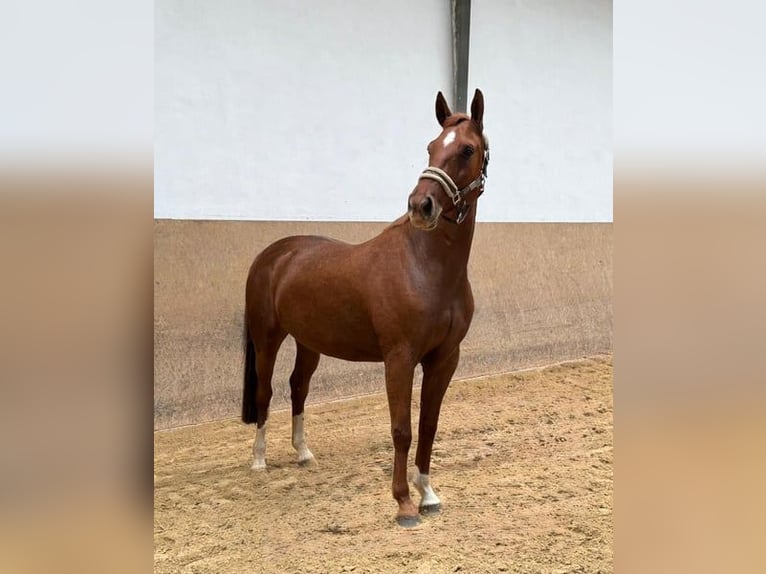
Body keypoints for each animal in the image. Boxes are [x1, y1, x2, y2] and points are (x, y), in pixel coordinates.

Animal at [242, 89, 489, 527]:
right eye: (430, 147)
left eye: (466, 149)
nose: (421, 205)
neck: (426, 268)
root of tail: (274, 254)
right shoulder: (399, 358)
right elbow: (402, 429)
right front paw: (404, 504)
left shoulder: (445, 359)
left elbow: (428, 426)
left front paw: (428, 494)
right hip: (267, 337)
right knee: (265, 391)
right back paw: (259, 460)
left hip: (309, 343)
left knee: (298, 386)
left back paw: (303, 453)